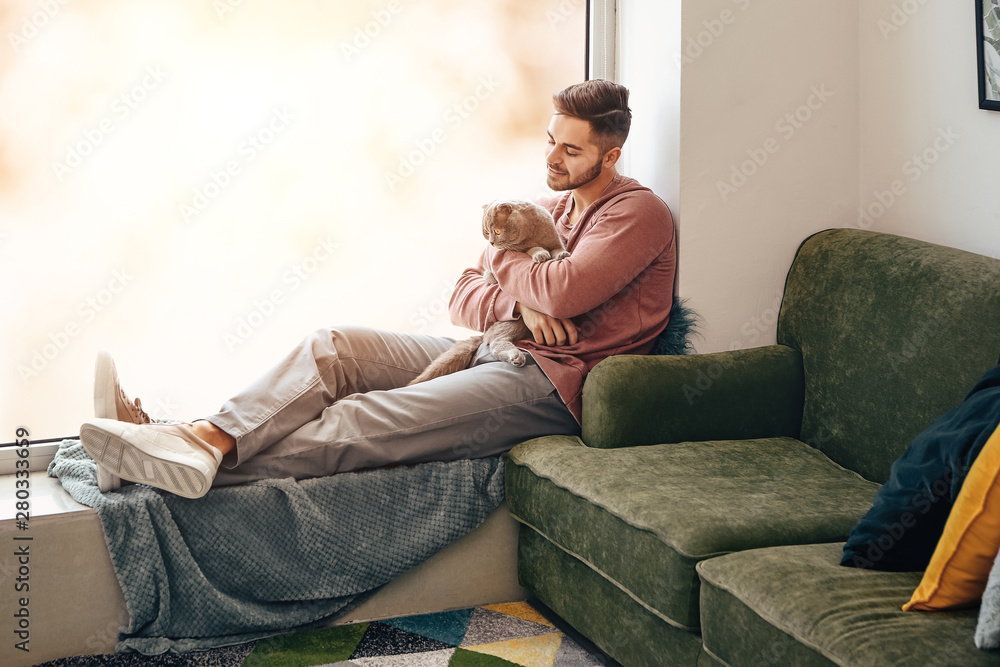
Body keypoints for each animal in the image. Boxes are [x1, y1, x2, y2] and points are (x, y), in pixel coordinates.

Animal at [408, 198, 572, 386]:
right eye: (487, 232)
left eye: (497, 231)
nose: (492, 242)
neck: (534, 233)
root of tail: (484, 333)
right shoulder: (511, 256)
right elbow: (532, 249)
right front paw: (540, 254)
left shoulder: (554, 240)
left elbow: (557, 248)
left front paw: (562, 254)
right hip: (511, 323)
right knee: (495, 344)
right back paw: (516, 356)